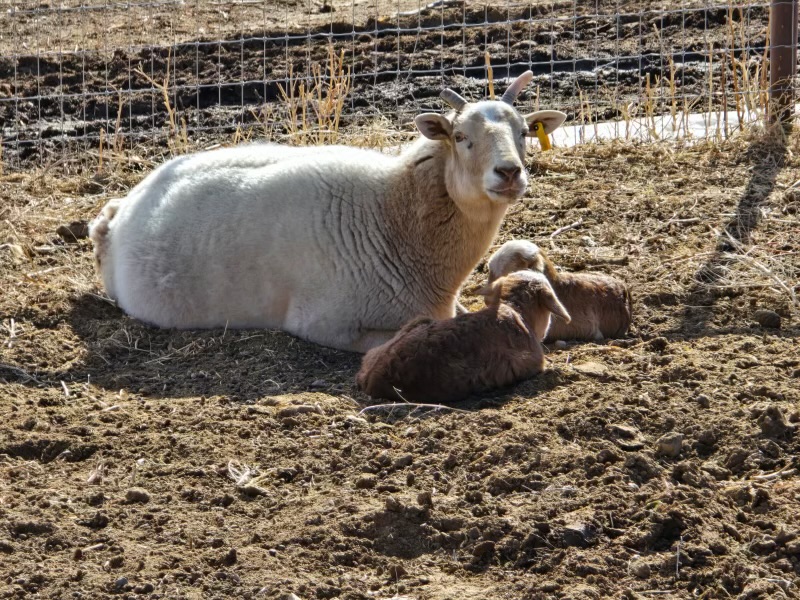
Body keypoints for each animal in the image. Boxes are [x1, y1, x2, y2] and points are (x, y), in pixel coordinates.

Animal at [89, 72, 567, 352]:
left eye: (524, 133)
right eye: (462, 137)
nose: (509, 172)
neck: (391, 214)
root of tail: (118, 212)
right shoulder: (326, 324)